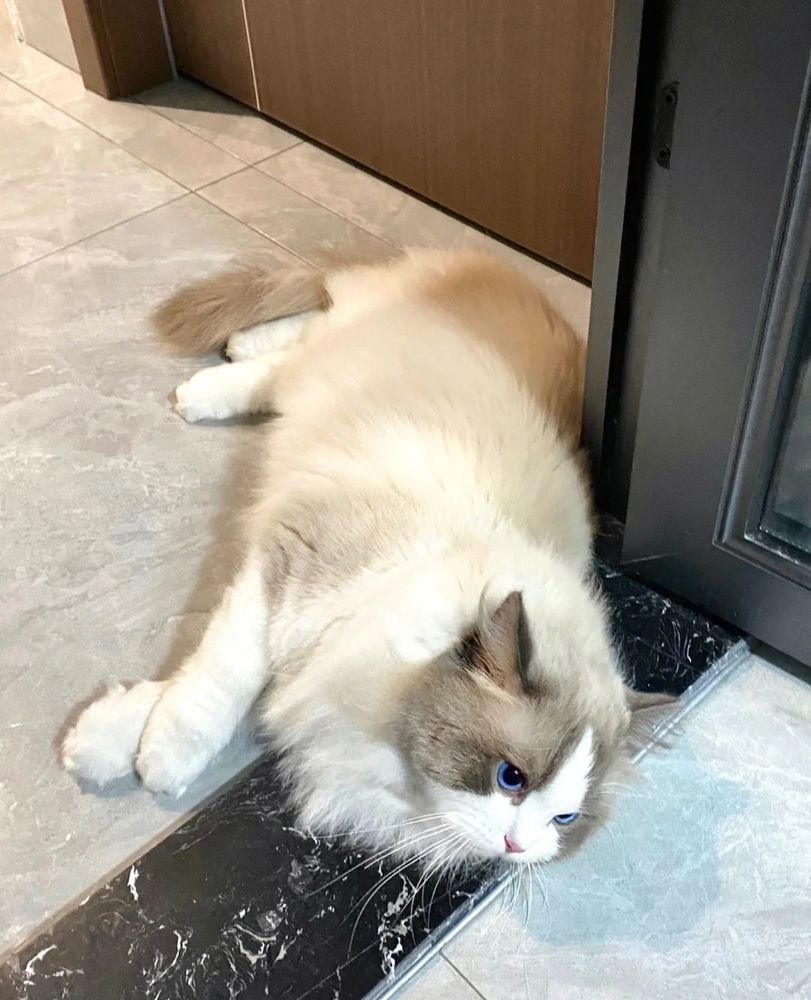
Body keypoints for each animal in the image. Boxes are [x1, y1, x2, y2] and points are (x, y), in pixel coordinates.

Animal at [62, 248, 674, 872]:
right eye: (511, 777)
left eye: (565, 820)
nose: (516, 847)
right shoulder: (283, 566)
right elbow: (214, 687)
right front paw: (152, 758)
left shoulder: (311, 658)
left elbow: (212, 690)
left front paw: (104, 743)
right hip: (334, 352)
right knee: (298, 339)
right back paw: (209, 379)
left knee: (298, 341)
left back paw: (231, 353)